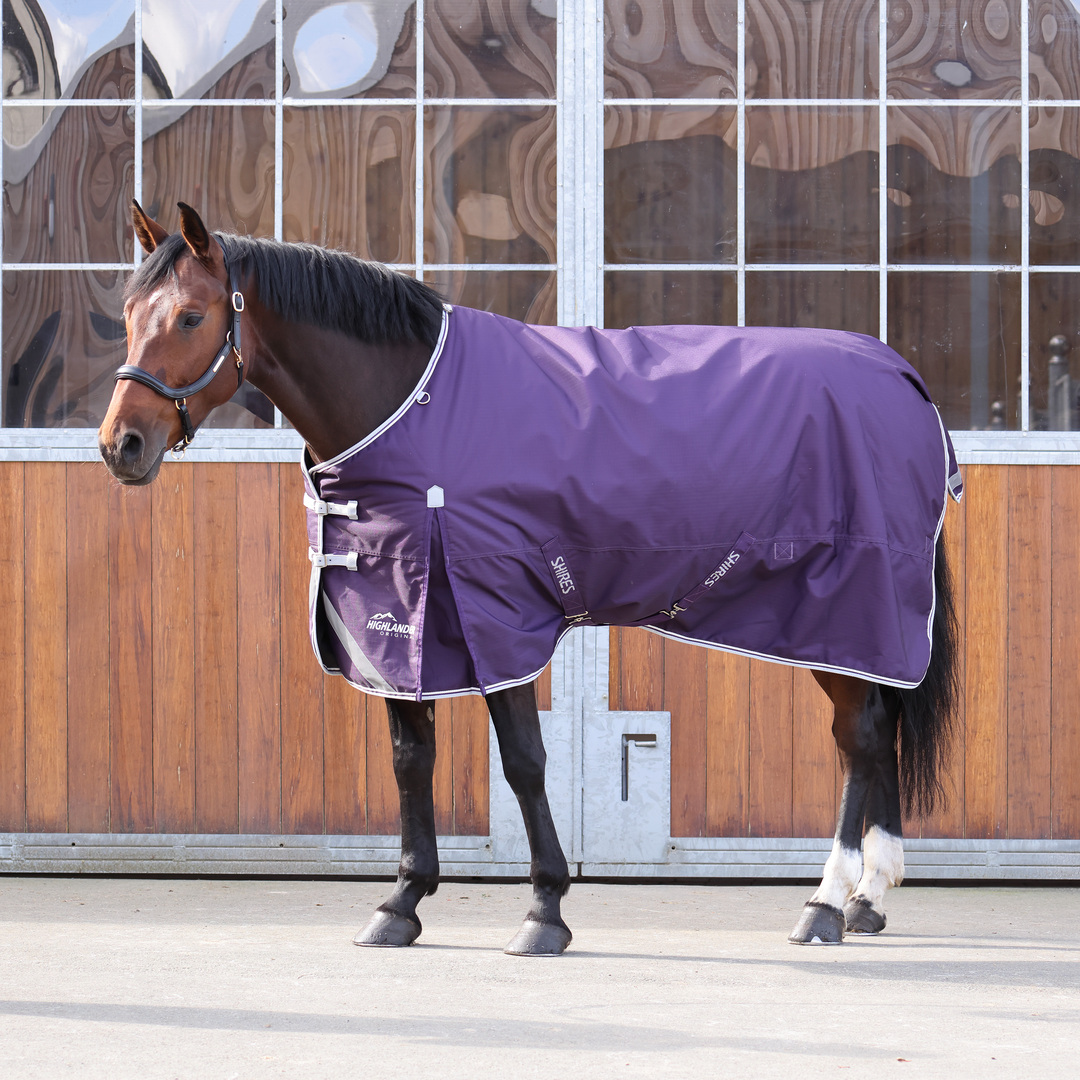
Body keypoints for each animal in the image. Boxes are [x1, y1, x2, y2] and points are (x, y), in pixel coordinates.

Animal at [99, 200, 960, 955]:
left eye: (190, 317)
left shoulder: (493, 615)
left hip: (842, 608)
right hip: (849, 623)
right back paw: (868, 898)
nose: (121, 446)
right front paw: (401, 903)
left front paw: (545, 909)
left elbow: (522, 761)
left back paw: (826, 902)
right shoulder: (398, 623)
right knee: (877, 729)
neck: (412, 405)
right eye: (130, 312)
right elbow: (411, 762)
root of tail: (903, 379)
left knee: (859, 738)